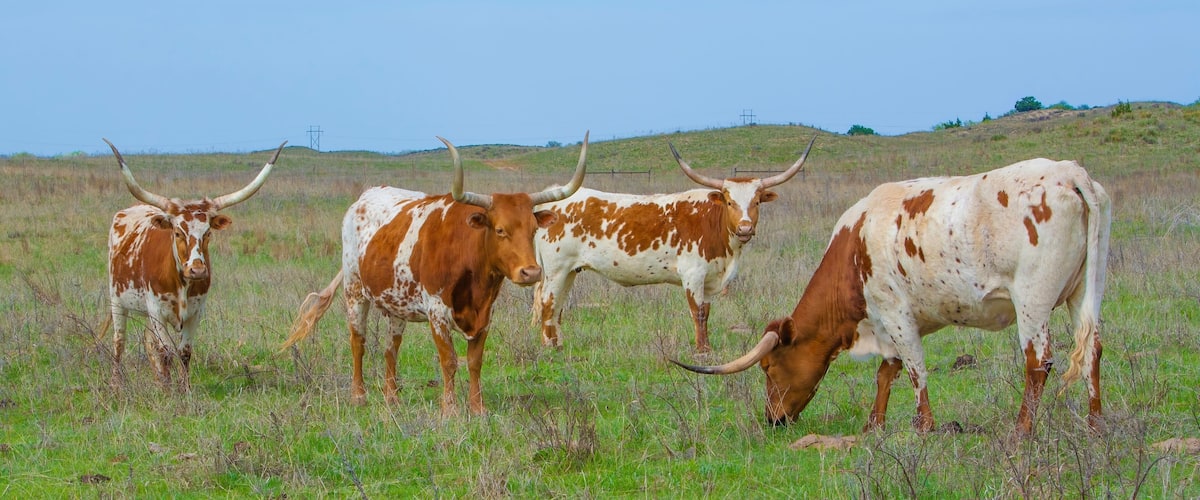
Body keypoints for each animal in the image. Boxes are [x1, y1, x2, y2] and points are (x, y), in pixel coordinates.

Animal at [101, 139, 287, 391]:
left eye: (207, 233)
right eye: (178, 232)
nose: (197, 270)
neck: (182, 284)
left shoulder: (196, 312)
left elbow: (184, 352)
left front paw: (183, 389)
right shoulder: (156, 309)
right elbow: (165, 351)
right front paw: (169, 392)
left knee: (149, 342)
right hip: (117, 300)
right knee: (119, 341)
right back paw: (116, 384)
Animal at [279, 133, 589, 416]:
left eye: (533, 229)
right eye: (500, 229)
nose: (531, 271)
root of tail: (363, 198)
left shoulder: (485, 313)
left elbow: (474, 361)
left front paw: (478, 409)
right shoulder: (436, 311)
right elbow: (449, 360)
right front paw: (449, 410)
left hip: (396, 305)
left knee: (391, 349)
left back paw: (392, 399)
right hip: (355, 291)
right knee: (358, 342)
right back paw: (359, 396)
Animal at [532, 138, 815, 353]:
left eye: (756, 202)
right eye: (729, 201)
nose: (745, 228)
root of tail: (551, 200)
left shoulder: (710, 281)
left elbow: (706, 313)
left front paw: (707, 347)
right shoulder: (693, 274)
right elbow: (697, 312)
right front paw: (701, 352)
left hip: (570, 271)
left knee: (557, 307)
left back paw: (558, 344)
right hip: (556, 269)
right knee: (547, 304)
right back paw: (548, 347)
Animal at [674, 158, 1111, 436]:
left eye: (769, 368)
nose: (773, 419)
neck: (854, 246)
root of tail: (1071, 174)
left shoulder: (895, 313)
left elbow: (914, 368)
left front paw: (924, 426)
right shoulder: (890, 324)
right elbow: (888, 371)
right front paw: (875, 424)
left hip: (1032, 301)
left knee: (1038, 362)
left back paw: (1022, 430)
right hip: (1084, 292)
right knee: (1092, 350)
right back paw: (1095, 425)